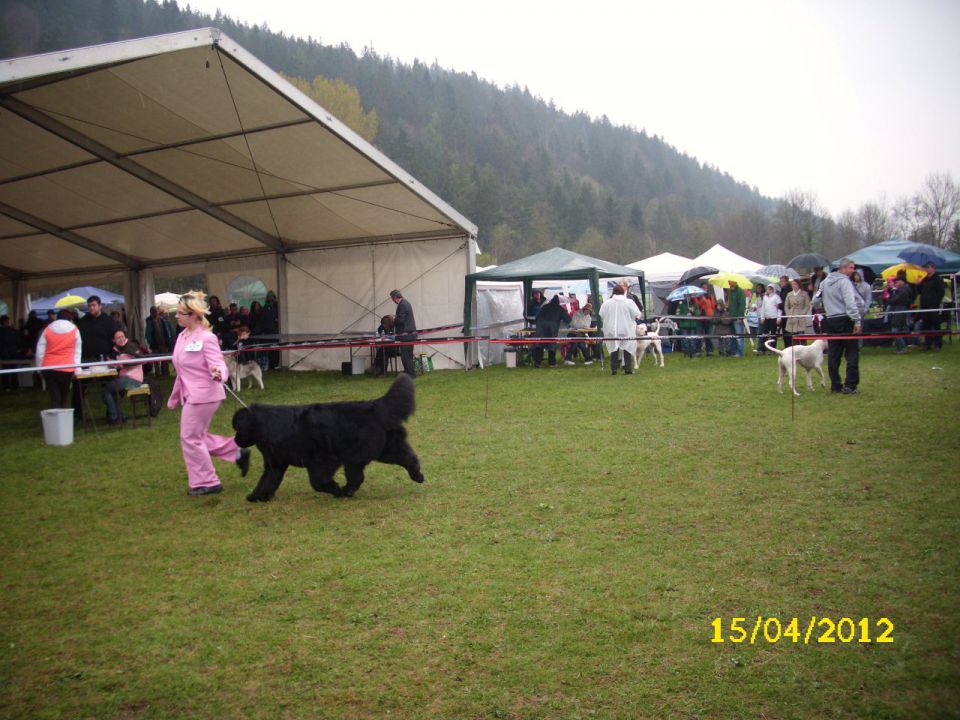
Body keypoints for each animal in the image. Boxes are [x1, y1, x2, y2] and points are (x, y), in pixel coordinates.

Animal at [232, 374, 424, 504]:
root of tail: (373, 406)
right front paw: (257, 496)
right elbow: (267, 480)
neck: (267, 426)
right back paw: (418, 476)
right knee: (407, 457)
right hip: (386, 448)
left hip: (354, 455)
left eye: (237, 428)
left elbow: (317, 482)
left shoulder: (322, 459)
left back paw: (345, 491)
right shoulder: (275, 463)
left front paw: (335, 489)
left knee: (356, 477)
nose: (235, 440)